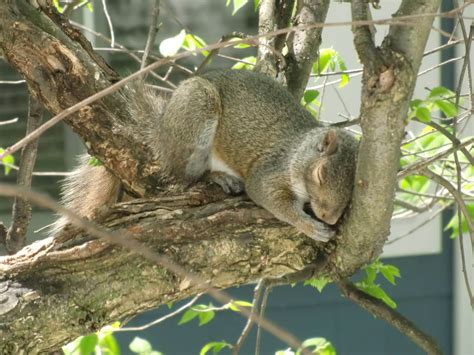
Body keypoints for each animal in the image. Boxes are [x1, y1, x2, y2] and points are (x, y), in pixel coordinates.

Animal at [51, 69, 358, 242]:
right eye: (320, 175)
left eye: (355, 186)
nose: (330, 218)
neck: (299, 151)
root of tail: (161, 132)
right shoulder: (272, 169)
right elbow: (269, 197)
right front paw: (310, 226)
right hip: (197, 114)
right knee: (184, 176)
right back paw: (218, 177)